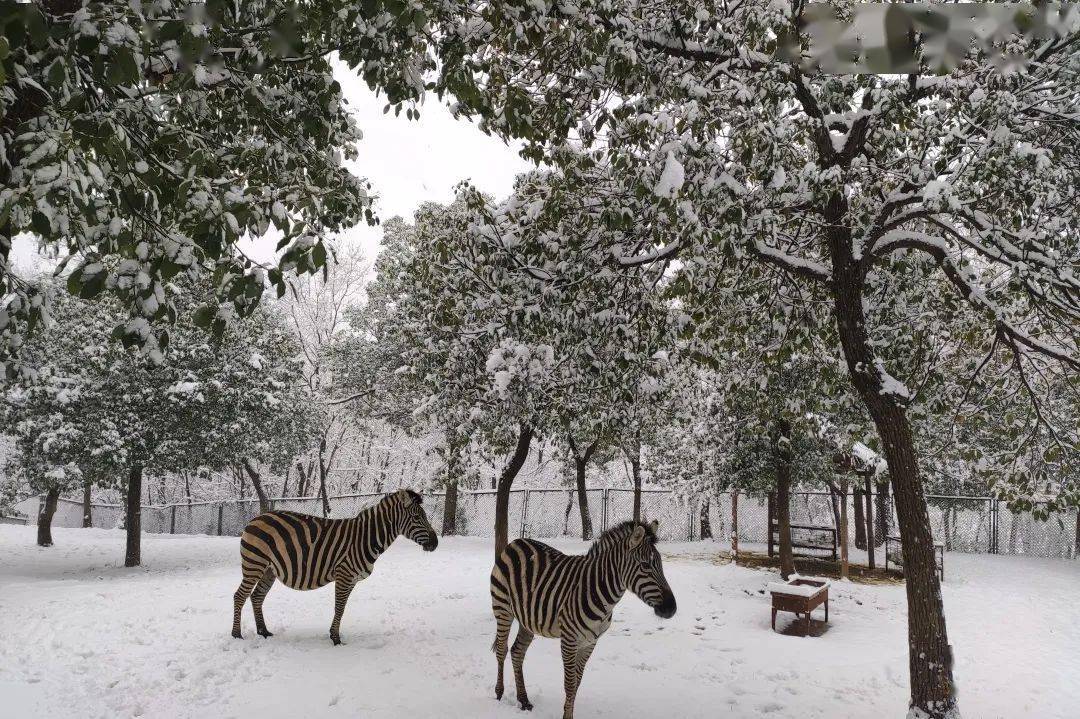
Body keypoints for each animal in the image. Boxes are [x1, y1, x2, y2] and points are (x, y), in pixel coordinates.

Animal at [232, 483, 438, 639]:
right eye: (417, 517)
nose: (435, 543)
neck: (365, 538)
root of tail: (256, 518)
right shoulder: (344, 574)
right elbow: (339, 607)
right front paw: (336, 639)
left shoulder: (352, 579)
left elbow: (343, 608)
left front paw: (334, 634)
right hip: (254, 564)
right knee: (240, 595)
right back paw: (237, 634)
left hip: (269, 570)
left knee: (257, 596)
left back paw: (263, 632)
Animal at [492, 518, 673, 712]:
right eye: (645, 565)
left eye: (661, 564)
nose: (672, 608)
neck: (599, 593)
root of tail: (516, 542)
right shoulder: (569, 640)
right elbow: (570, 684)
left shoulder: (590, 642)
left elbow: (577, 683)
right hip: (502, 608)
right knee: (502, 650)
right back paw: (499, 693)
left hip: (527, 620)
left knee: (517, 652)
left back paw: (523, 700)